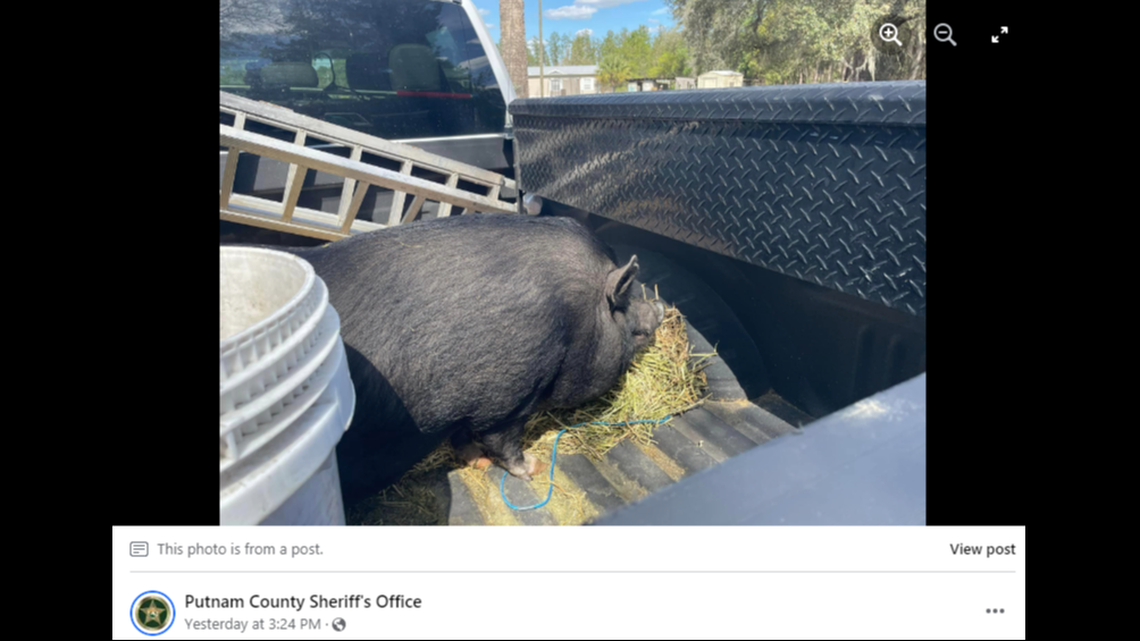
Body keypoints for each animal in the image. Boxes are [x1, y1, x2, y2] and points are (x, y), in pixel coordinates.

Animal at [271, 213, 665, 503]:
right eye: (634, 329)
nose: (660, 306)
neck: (574, 320)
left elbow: (464, 434)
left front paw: (476, 462)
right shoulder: (510, 393)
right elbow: (502, 440)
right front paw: (533, 468)